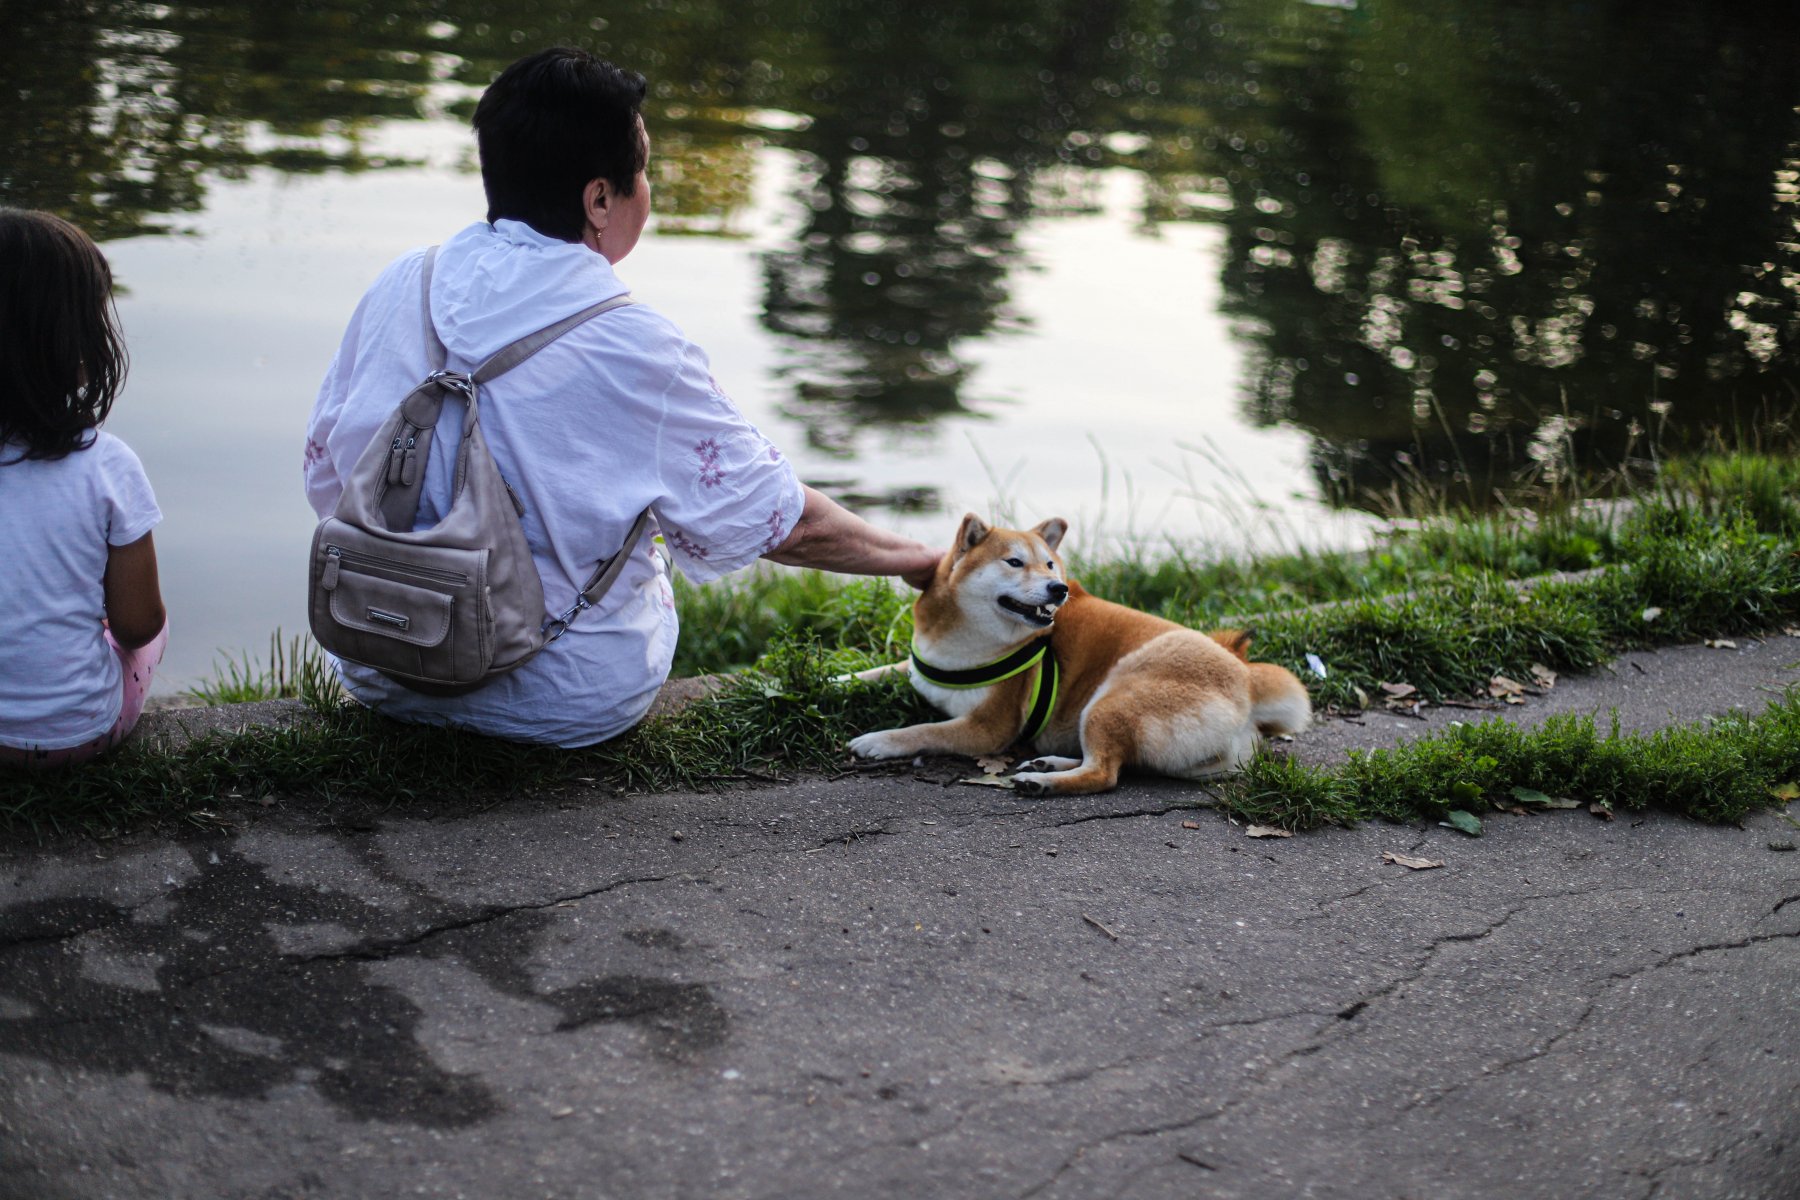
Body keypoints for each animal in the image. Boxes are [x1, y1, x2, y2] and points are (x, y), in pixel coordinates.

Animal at [842, 510, 1310, 791]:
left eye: (1050, 564)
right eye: (1014, 562)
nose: (1058, 588)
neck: (964, 642)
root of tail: (1247, 681)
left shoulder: (989, 728)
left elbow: (924, 731)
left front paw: (878, 741)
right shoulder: (918, 666)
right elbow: (879, 671)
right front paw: (838, 677)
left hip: (1110, 700)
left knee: (1105, 773)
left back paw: (1045, 783)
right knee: (1118, 763)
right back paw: (1048, 765)